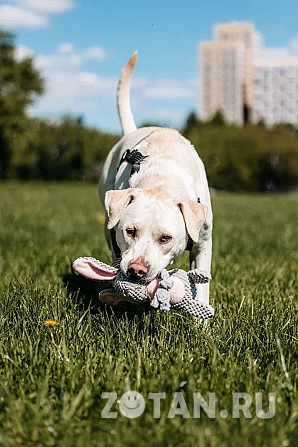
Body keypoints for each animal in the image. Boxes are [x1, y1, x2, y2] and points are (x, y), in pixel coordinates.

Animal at [98, 51, 212, 304]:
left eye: (165, 238)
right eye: (130, 231)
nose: (136, 270)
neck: (162, 180)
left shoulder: (203, 242)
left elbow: (202, 280)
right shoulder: (115, 237)